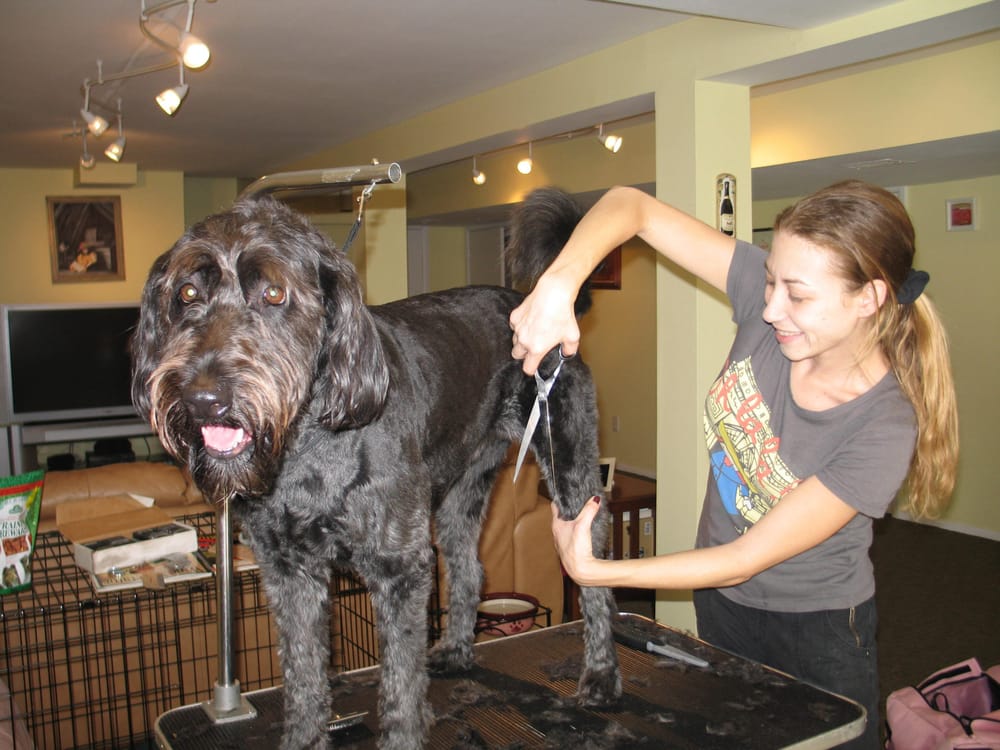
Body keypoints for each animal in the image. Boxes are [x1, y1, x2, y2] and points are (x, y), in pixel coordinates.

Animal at [129, 189, 620, 750]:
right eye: (187, 292)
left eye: (274, 293)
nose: (203, 398)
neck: (309, 442)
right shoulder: (288, 570)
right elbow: (303, 675)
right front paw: (305, 738)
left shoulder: (398, 567)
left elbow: (401, 684)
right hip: (460, 495)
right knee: (469, 567)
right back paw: (457, 651)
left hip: (570, 474)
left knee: (593, 568)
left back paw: (601, 677)